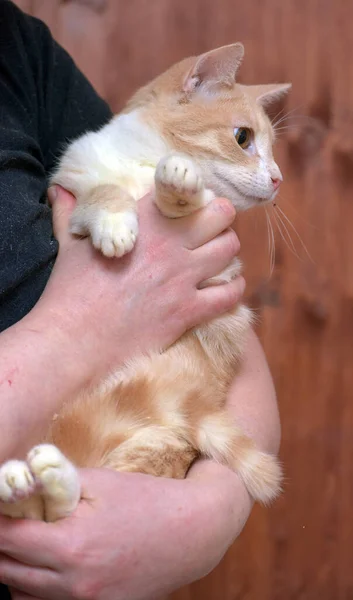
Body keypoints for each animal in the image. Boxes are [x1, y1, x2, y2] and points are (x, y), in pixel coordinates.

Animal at [0, 43, 288, 520]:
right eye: (244, 138)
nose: (278, 178)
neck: (142, 163)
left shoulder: (219, 271)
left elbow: (181, 202)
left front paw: (178, 183)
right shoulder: (73, 193)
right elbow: (103, 194)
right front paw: (117, 222)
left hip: (152, 437)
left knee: (61, 507)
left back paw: (38, 480)